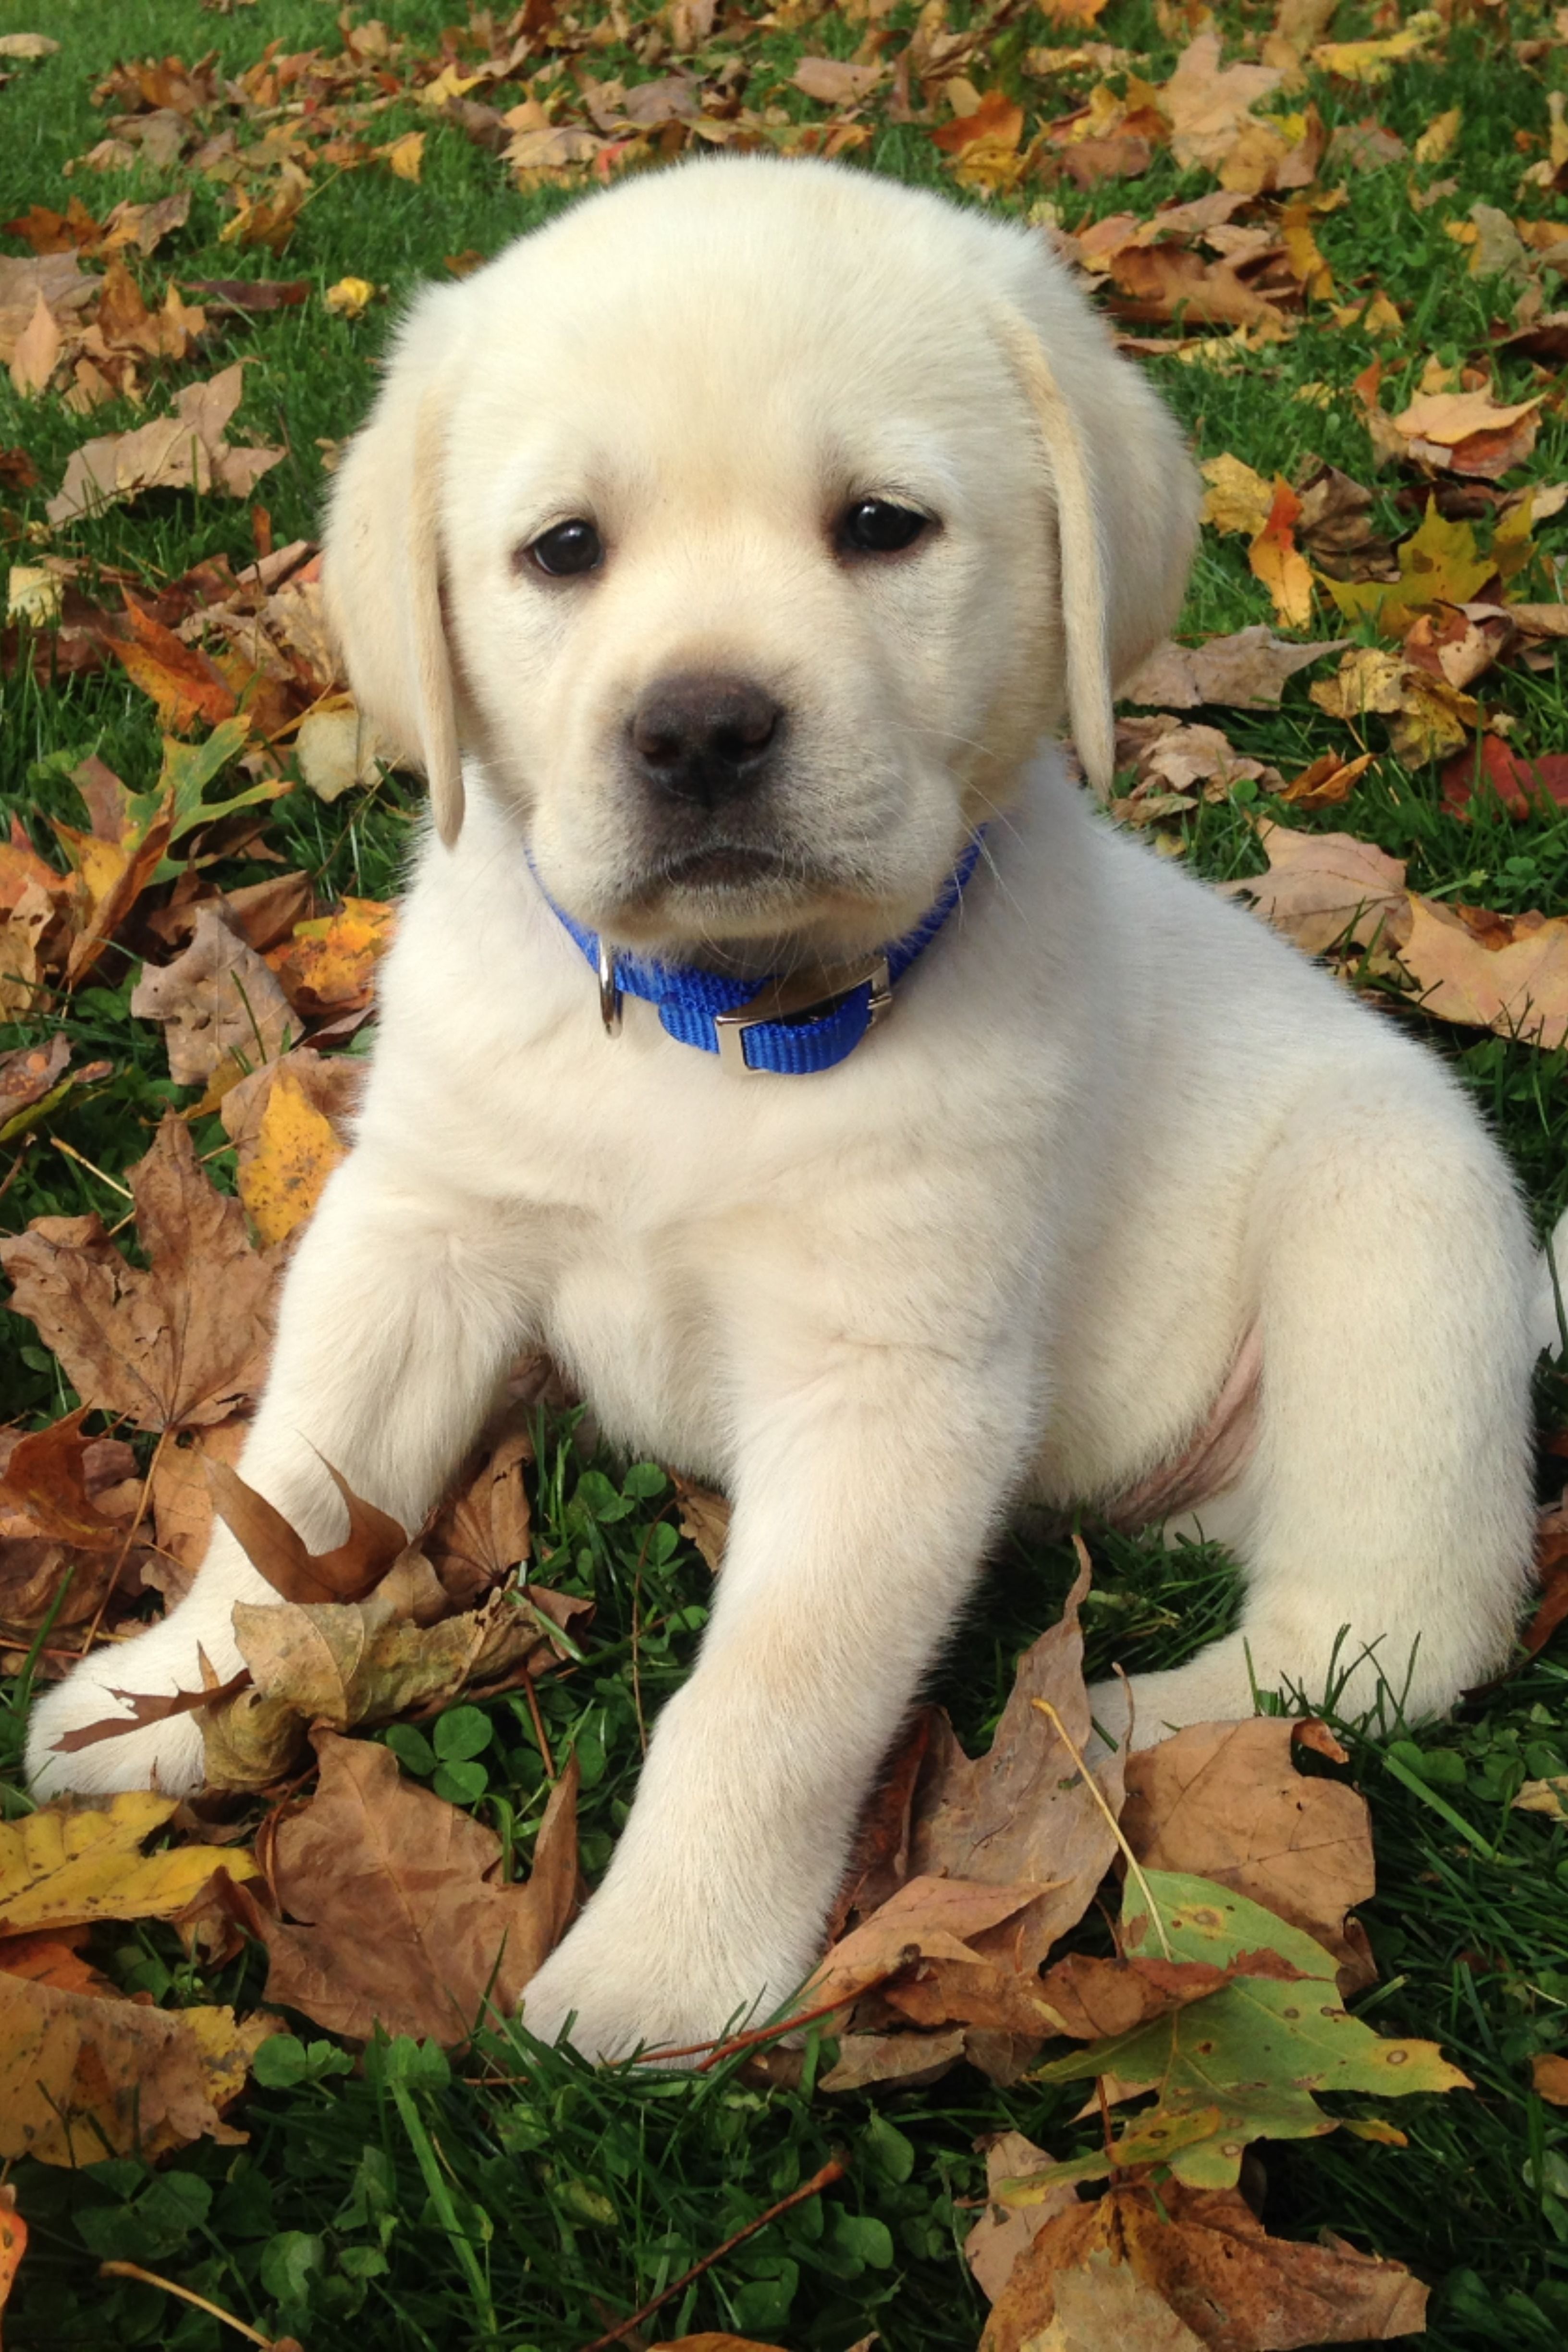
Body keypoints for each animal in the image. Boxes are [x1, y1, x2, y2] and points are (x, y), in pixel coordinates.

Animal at [30, 151, 1561, 2060]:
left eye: (881, 527)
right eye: (562, 550)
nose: (698, 730)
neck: (711, 1032)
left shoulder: (887, 1388)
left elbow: (763, 1701)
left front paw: (663, 1974)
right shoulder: (416, 1229)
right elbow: (294, 1491)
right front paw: (164, 1694)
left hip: (1390, 1229)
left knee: (1381, 1634)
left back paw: (1106, 1732)